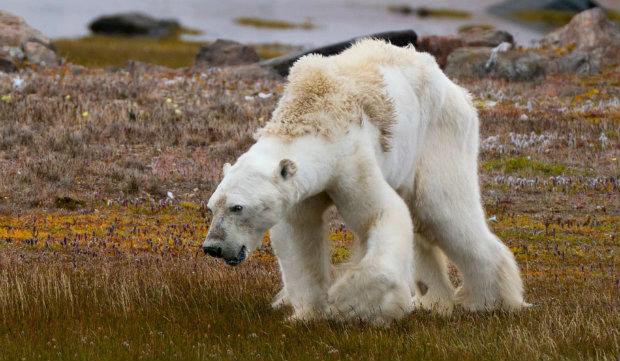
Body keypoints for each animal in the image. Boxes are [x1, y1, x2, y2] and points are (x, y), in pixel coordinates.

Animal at [205, 38, 528, 324]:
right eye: (212, 207)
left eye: (237, 207)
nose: (213, 248)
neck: (313, 114)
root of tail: (456, 88)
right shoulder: (301, 189)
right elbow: (299, 234)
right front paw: (307, 313)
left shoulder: (351, 161)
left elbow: (381, 214)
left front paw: (351, 303)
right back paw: (433, 301)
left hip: (439, 134)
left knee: (441, 210)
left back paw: (488, 301)